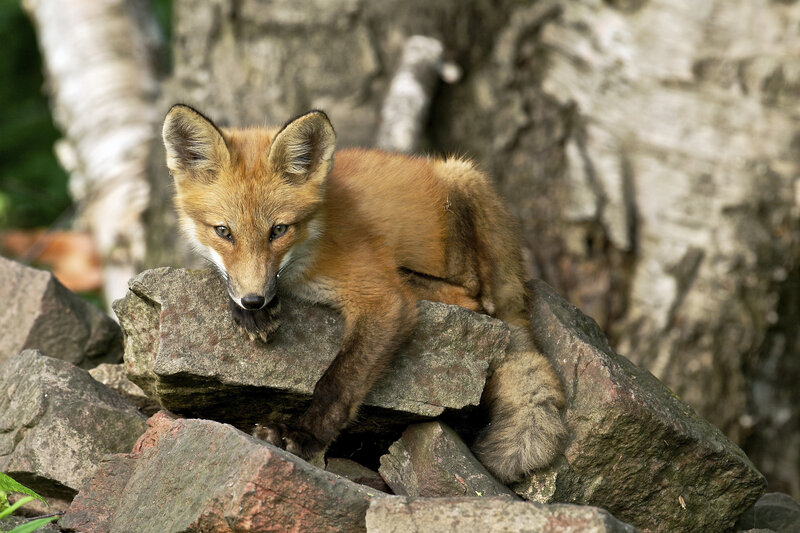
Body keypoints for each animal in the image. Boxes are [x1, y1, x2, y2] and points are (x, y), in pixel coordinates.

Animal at [161, 104, 566, 483]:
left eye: (278, 230)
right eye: (223, 232)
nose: (254, 300)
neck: (311, 245)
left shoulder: (382, 300)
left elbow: (338, 382)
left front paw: (305, 436)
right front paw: (252, 312)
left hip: (461, 181)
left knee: (474, 295)